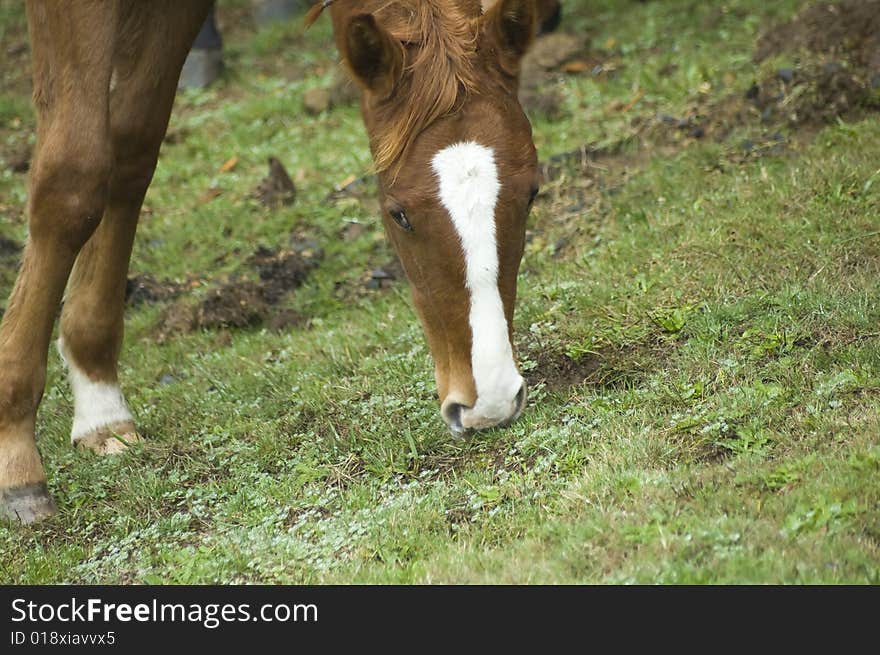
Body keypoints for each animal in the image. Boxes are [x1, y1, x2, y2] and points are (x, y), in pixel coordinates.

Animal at [0, 0, 540, 524]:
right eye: (399, 214)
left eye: (533, 192)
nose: (491, 400)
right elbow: (74, 181)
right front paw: (14, 449)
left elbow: (132, 148)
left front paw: (99, 399)